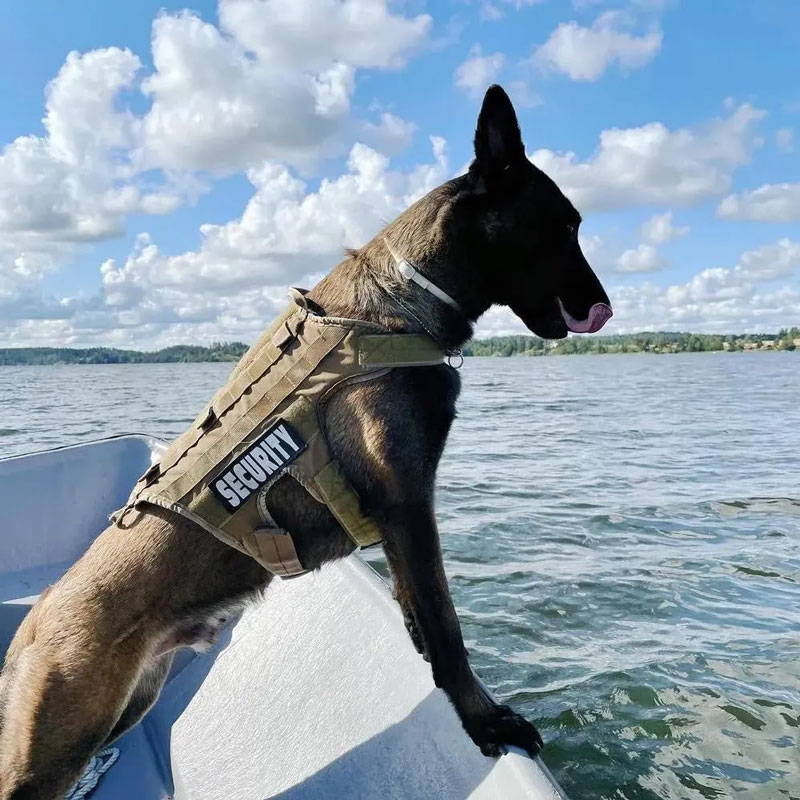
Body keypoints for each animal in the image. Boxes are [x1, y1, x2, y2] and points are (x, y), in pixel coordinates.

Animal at [1, 87, 612, 800]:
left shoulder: (401, 523)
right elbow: (446, 626)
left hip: (129, 704)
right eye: (564, 226)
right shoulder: (408, 505)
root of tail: (30, 630)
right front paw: (485, 721)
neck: (399, 303)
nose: (603, 306)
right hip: (60, 745)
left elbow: (422, 614)